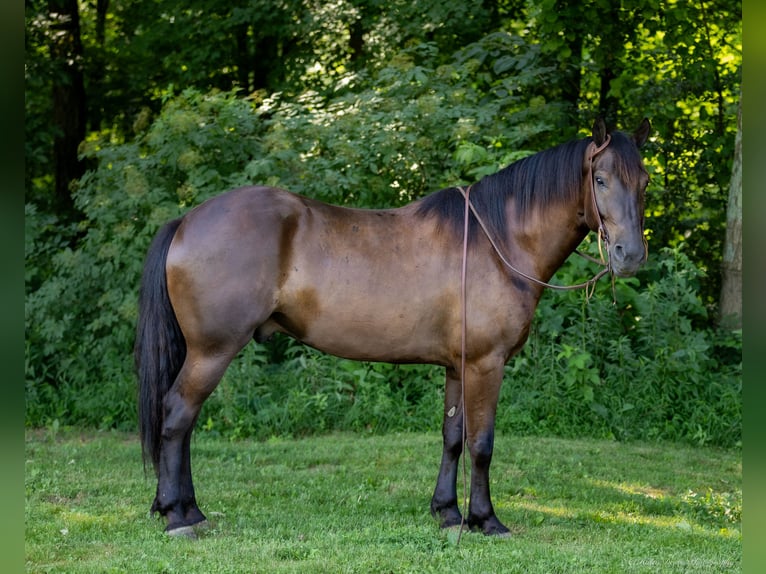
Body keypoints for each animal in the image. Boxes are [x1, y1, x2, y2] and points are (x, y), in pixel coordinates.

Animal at [138, 117, 656, 540]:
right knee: (178, 415)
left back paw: (185, 509)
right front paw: (485, 519)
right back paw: (179, 516)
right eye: (601, 179)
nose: (630, 256)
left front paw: (447, 512)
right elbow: (482, 444)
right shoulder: (486, 365)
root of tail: (186, 220)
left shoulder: (458, 367)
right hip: (212, 350)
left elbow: (453, 437)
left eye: (645, 181)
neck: (497, 240)